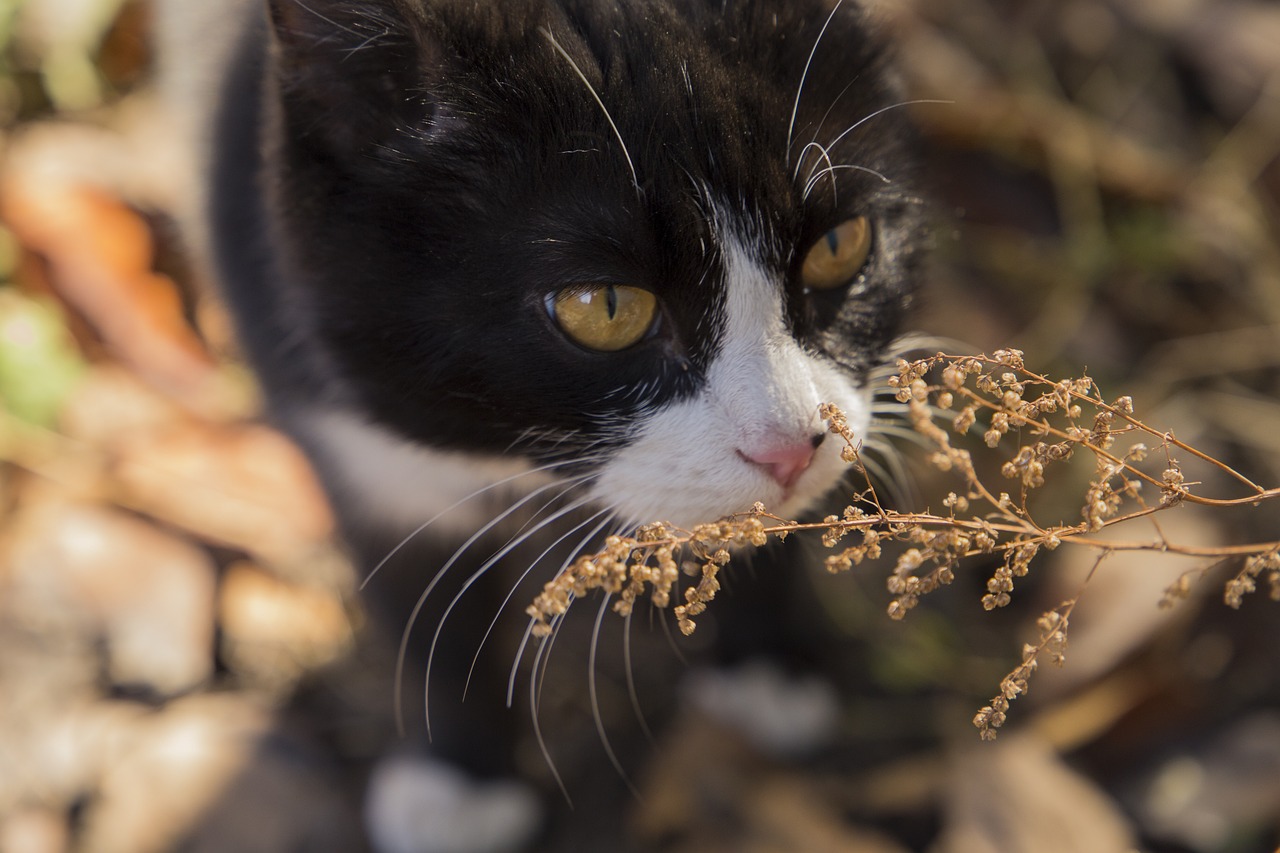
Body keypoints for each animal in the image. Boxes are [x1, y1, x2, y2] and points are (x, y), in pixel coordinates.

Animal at [160, 1, 926, 845]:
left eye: (839, 245)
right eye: (605, 306)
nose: (791, 445)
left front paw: (769, 666)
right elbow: (419, 592)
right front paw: (461, 780)